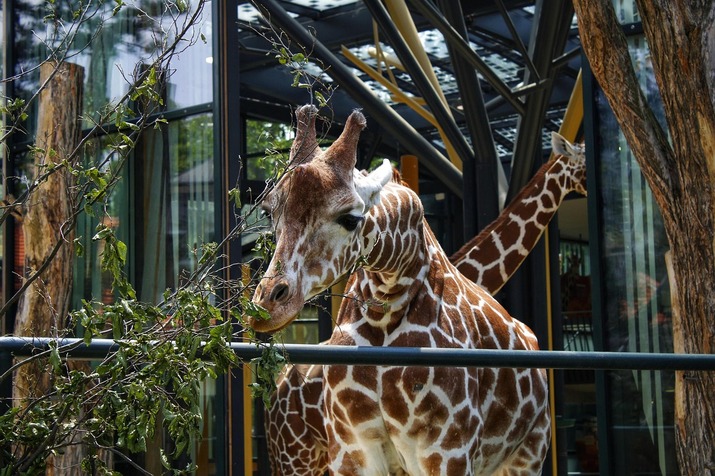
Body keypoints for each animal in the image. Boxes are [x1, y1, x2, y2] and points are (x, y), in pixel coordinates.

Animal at [262, 127, 588, 476]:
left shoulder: (444, 451)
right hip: (297, 454)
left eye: (350, 219)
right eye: (271, 215)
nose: (269, 301)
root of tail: (278, 387)